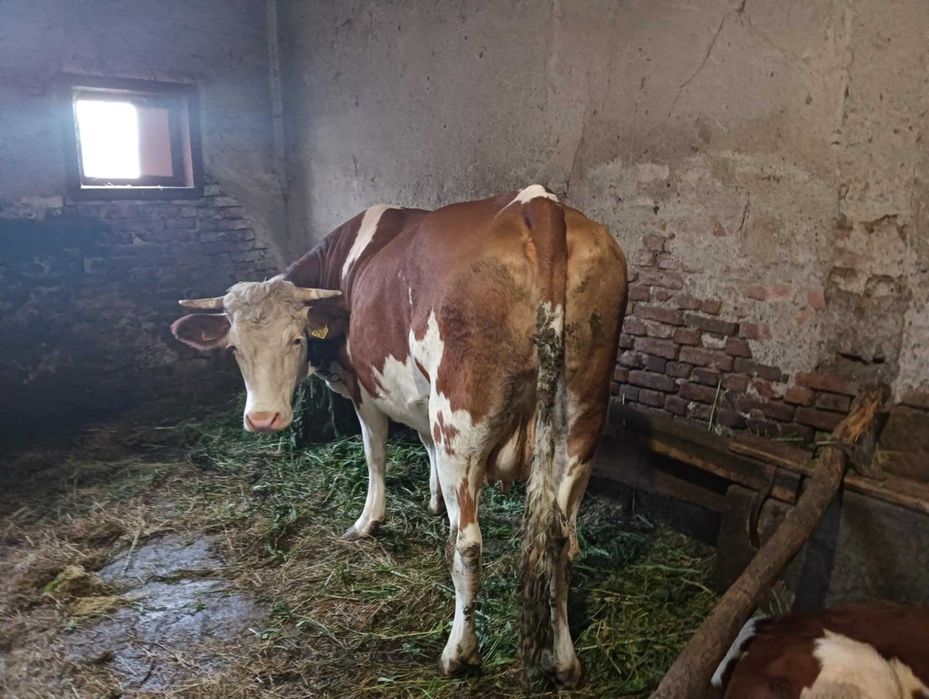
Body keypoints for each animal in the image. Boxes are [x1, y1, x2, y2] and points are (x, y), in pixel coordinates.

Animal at [170, 185, 627, 683]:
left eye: (296, 340)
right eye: (234, 348)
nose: (263, 419)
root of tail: (537, 202)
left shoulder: (366, 392)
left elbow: (375, 455)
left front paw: (368, 521)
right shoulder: (420, 398)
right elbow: (422, 444)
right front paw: (431, 499)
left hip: (460, 424)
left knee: (467, 545)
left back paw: (458, 652)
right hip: (581, 419)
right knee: (559, 539)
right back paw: (564, 661)